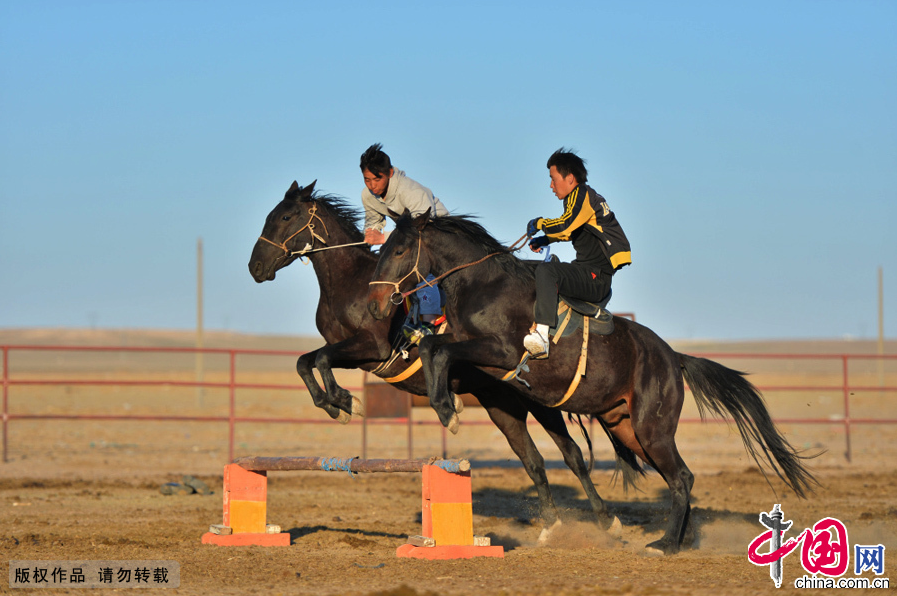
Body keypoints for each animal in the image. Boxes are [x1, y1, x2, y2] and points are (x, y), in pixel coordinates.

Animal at [247, 180, 624, 537]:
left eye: (285, 217)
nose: (255, 266)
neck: (350, 283)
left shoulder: (372, 348)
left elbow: (323, 360)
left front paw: (345, 402)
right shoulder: (353, 354)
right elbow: (305, 362)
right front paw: (334, 404)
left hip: (539, 400)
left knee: (572, 453)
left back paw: (608, 522)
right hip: (502, 401)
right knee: (534, 458)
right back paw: (563, 523)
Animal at [367, 209, 819, 555]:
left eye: (400, 249)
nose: (374, 305)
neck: (485, 286)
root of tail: (673, 358)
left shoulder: (501, 352)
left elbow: (438, 350)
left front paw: (449, 409)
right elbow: (433, 348)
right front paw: (447, 403)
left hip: (652, 430)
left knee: (682, 478)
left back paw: (665, 545)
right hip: (629, 429)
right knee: (679, 478)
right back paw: (675, 538)